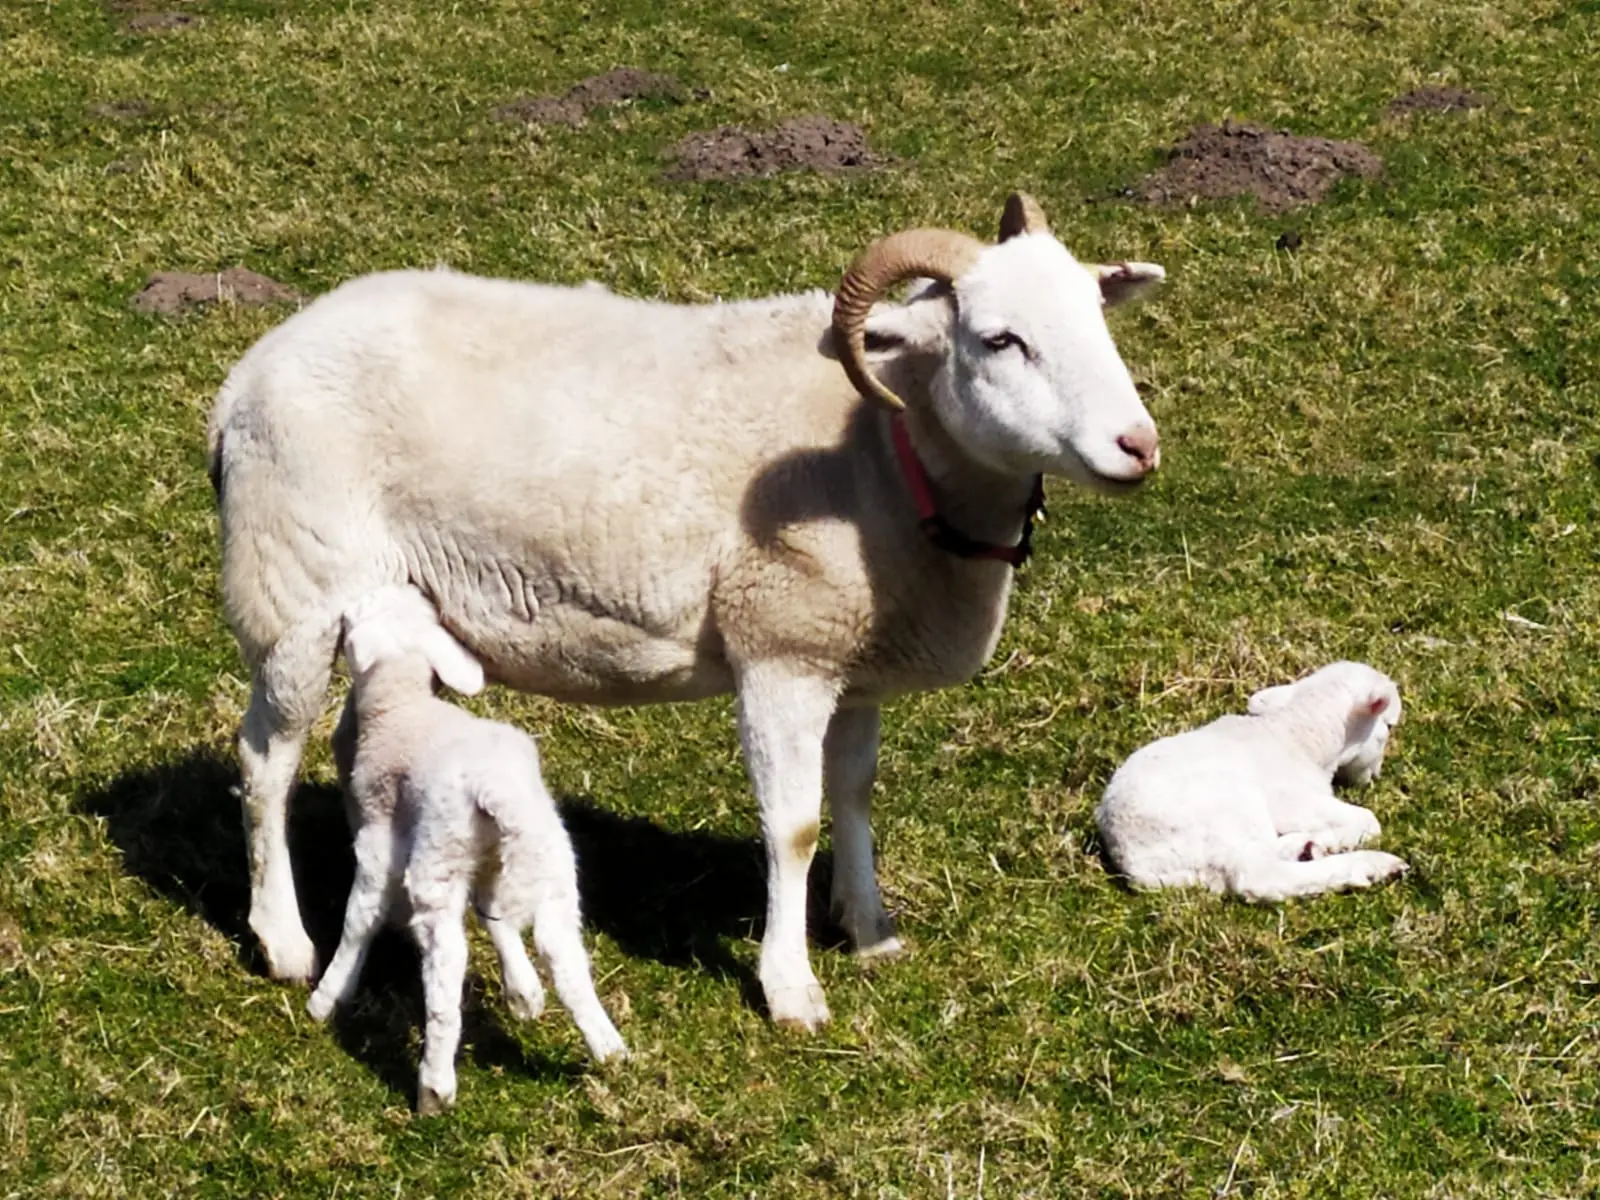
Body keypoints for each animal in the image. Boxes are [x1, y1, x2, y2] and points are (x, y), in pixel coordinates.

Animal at [208, 192, 1166, 1031]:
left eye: (1097, 316)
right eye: (999, 339)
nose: (1139, 445)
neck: (889, 448)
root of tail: (246, 378)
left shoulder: (853, 662)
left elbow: (854, 794)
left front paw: (869, 929)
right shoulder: (781, 653)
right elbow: (794, 826)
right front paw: (791, 989)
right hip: (290, 591)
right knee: (266, 759)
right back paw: (284, 940)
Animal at [307, 585, 627, 1113]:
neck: (402, 707)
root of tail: (495, 791)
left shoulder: (378, 835)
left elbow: (361, 918)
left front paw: (329, 994)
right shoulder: (493, 865)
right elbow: (494, 914)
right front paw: (523, 992)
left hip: (440, 853)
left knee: (447, 962)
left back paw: (434, 1085)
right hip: (550, 857)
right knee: (561, 950)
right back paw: (607, 1045)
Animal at [1094, 662, 1408, 902]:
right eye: (1389, 726)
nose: (1374, 776)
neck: (1295, 738)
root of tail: (1135, 863)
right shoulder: (1292, 799)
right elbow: (1369, 821)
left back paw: (1302, 848)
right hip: (1228, 811)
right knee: (1260, 876)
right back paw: (1372, 865)